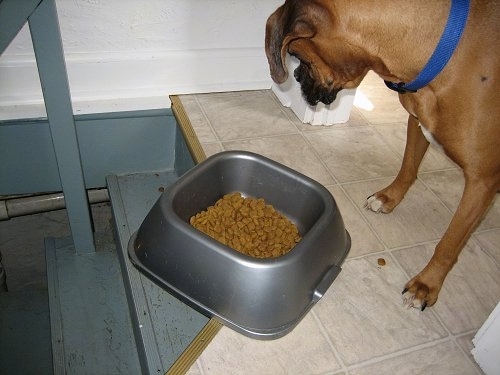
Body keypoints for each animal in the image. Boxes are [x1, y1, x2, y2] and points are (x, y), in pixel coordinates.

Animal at [264, 0, 498, 312]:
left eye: (295, 53)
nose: (297, 77)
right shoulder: (418, 121)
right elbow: (408, 167)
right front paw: (388, 198)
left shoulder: (483, 182)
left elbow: (450, 242)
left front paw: (426, 285)